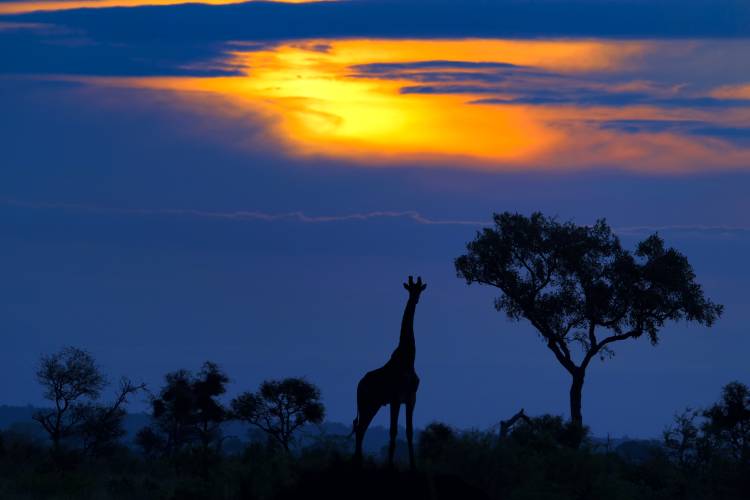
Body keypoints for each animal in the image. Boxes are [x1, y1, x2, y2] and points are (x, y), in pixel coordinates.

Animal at [353, 275, 427, 470]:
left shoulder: (411, 398)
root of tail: (359, 384)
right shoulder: (395, 398)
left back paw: (359, 461)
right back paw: (358, 462)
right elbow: (393, 431)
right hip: (367, 403)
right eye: (410, 289)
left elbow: (409, 431)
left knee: (361, 428)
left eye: (419, 289)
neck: (408, 360)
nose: (415, 299)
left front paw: (413, 466)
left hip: (375, 404)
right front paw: (390, 465)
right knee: (360, 428)